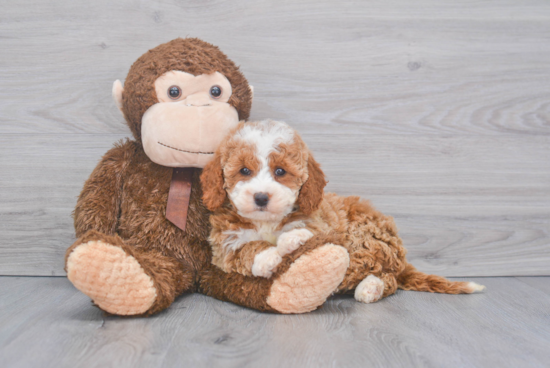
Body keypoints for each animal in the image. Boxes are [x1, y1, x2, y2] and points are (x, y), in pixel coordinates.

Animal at [201, 121, 486, 304]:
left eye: (280, 171)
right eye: (244, 171)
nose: (261, 197)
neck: (267, 222)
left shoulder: (320, 222)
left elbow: (304, 230)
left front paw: (293, 239)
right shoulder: (224, 243)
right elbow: (246, 248)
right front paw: (269, 256)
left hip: (367, 239)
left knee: (388, 278)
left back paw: (369, 288)